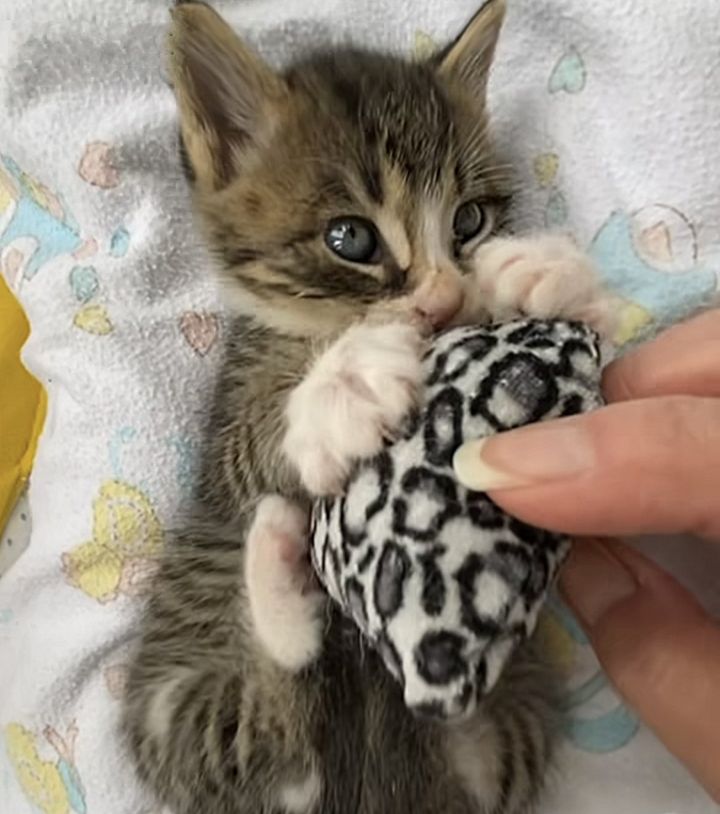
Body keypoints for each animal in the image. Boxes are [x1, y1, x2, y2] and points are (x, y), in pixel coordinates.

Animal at [121, 1, 616, 814]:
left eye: (469, 221)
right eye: (350, 238)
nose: (444, 299)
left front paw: (546, 274)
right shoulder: (226, 420)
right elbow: (250, 451)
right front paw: (343, 385)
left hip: (509, 731)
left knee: (468, 736)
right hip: (169, 720)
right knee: (272, 730)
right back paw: (280, 568)